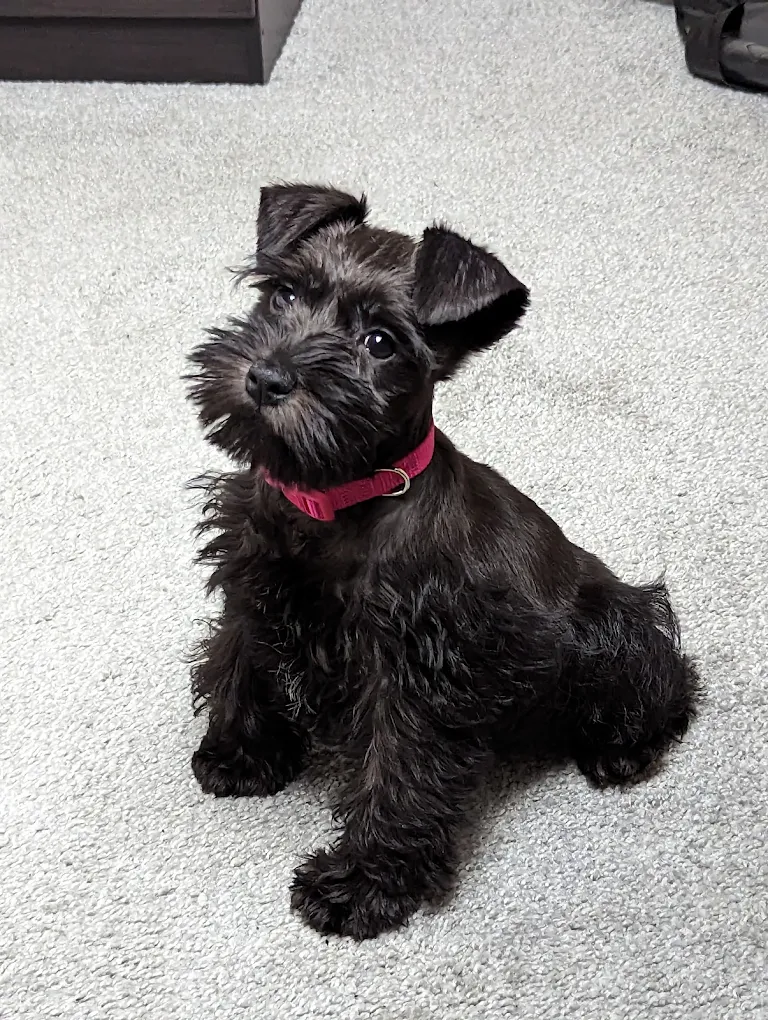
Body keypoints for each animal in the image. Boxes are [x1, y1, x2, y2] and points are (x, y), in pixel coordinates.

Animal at [186, 183, 701, 940]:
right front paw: (240, 754)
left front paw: (360, 885)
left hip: (617, 627)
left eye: (380, 342)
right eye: (283, 294)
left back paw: (621, 750)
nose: (268, 377)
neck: (336, 501)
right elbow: (240, 661)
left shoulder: (414, 670)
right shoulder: (253, 581)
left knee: (671, 683)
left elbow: (399, 772)